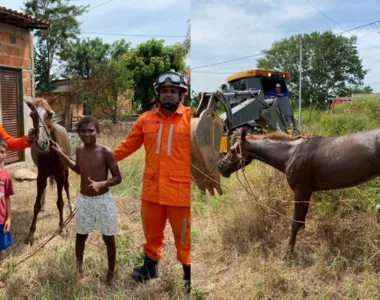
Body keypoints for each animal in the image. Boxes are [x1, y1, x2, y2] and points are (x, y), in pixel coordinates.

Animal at [24, 97, 74, 245]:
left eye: (51, 114)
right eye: (32, 115)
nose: (42, 143)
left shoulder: (60, 175)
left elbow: (60, 203)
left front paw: (62, 228)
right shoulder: (41, 175)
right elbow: (35, 205)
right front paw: (31, 233)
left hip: (66, 172)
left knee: (67, 187)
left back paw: (71, 208)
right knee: (46, 186)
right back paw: (43, 205)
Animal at [215, 127, 380, 256]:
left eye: (232, 150)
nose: (220, 166)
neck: (290, 154)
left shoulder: (301, 192)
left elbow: (295, 223)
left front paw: (289, 252)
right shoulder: (306, 193)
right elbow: (301, 221)